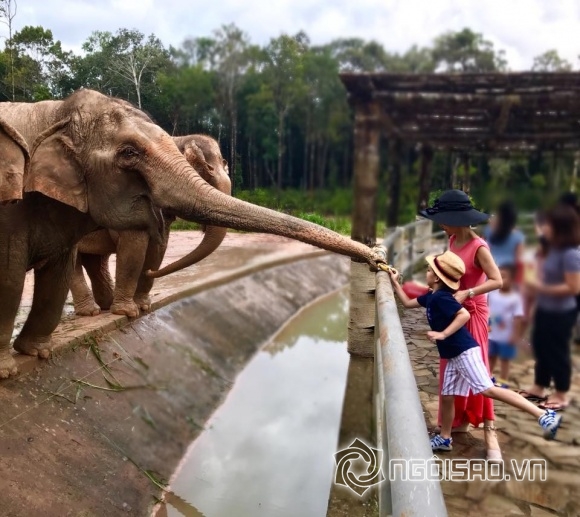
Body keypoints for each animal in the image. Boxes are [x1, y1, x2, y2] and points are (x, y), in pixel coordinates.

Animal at [69, 133, 230, 316]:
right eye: (208, 172)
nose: (150, 272)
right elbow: (135, 242)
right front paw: (128, 311)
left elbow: (159, 246)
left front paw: (143, 306)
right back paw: (90, 312)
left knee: (96, 260)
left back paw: (105, 305)